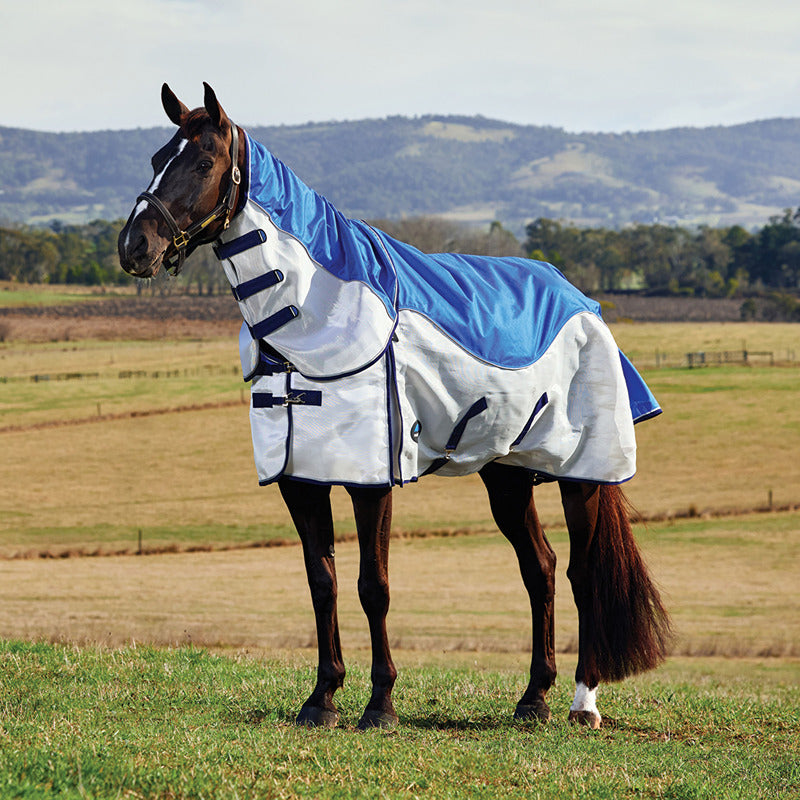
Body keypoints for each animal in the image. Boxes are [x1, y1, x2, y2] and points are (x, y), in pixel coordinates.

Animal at [118, 83, 671, 731]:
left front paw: (380, 704)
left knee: (581, 574)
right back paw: (533, 698)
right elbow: (322, 580)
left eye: (204, 161)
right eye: (158, 157)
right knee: (539, 569)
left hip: (580, 471)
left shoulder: (370, 479)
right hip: (507, 474)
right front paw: (322, 699)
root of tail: (582, 300)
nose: (134, 247)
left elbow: (372, 585)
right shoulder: (300, 478)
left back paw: (584, 704)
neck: (305, 322)